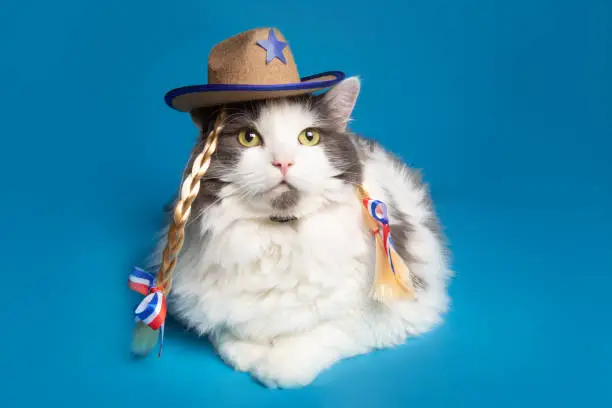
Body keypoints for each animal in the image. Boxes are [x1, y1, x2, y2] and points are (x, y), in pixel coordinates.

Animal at [149, 77, 454, 388]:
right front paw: (248, 352)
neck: (280, 232)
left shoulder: (398, 310)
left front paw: (278, 366)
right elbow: (232, 330)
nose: (283, 162)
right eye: (249, 138)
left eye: (309, 137)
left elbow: (325, 330)